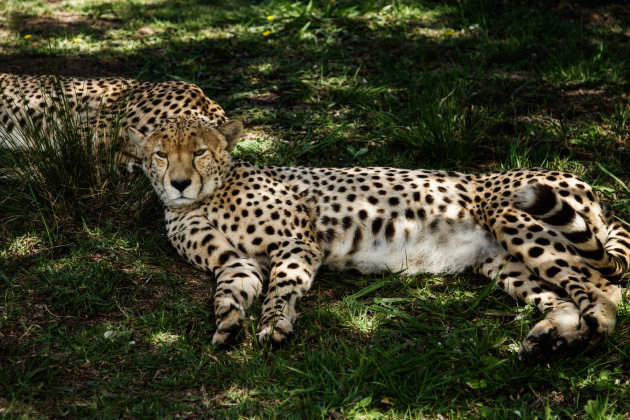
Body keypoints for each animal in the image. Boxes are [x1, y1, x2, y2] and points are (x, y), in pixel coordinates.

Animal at [127, 115, 630, 360]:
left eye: (199, 151)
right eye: (160, 154)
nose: (179, 183)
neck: (203, 199)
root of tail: (588, 184)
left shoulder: (297, 242)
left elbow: (281, 287)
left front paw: (273, 324)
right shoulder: (236, 262)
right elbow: (229, 291)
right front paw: (229, 322)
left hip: (513, 215)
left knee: (603, 288)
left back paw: (581, 338)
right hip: (500, 260)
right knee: (564, 297)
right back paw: (551, 337)